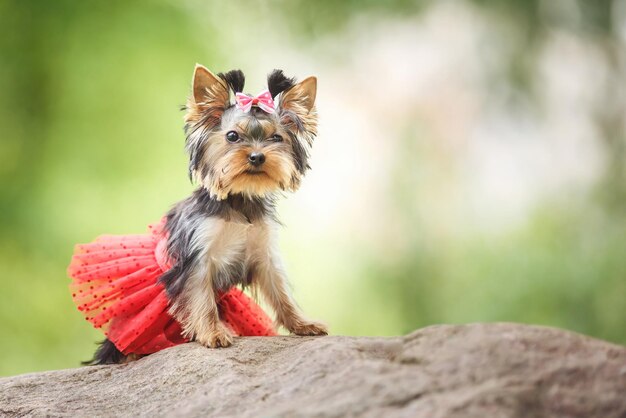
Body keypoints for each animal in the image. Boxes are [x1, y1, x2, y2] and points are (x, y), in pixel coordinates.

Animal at [69, 63, 326, 364]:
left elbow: (281, 293)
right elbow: (201, 296)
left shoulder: (264, 255)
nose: (257, 156)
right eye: (232, 136)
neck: (239, 200)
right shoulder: (197, 256)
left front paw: (302, 324)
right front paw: (213, 333)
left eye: (276, 137)